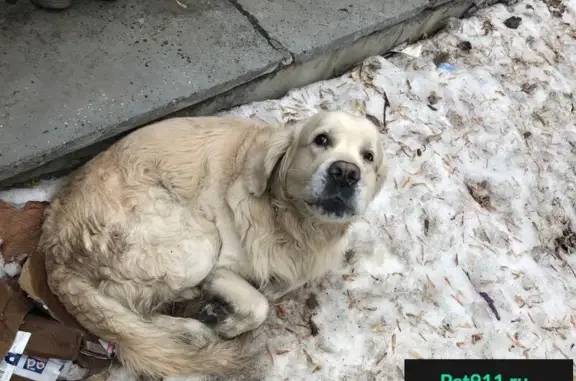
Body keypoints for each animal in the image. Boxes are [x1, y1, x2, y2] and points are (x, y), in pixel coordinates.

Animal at [39, 110, 388, 378]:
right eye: (321, 139)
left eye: (368, 157)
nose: (346, 172)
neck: (293, 224)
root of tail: (52, 246)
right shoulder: (222, 267)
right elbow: (259, 305)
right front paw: (225, 322)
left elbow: (276, 289)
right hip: (198, 241)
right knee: (135, 315)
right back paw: (192, 327)